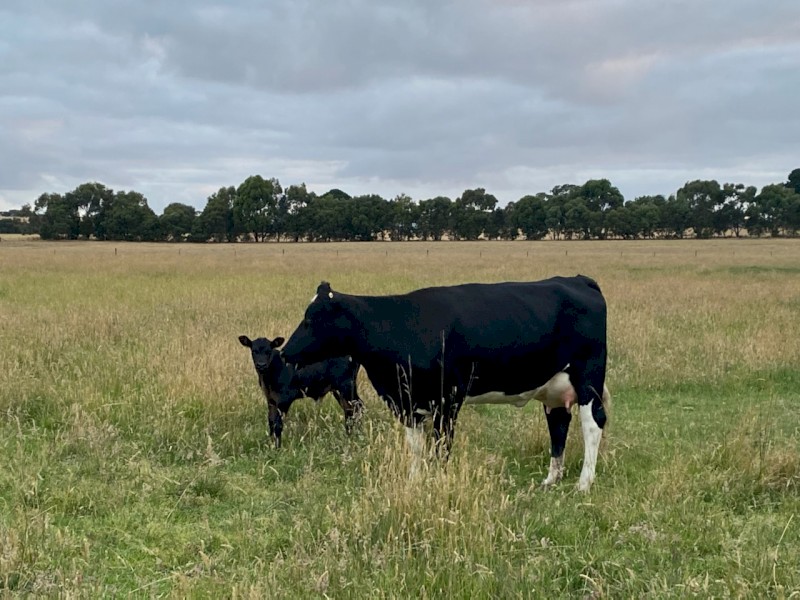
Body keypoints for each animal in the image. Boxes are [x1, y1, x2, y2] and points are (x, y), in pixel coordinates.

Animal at [281, 276, 610, 491]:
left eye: (311, 319)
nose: (284, 351)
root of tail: (578, 280)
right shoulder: (408, 403)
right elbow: (416, 448)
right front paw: (415, 481)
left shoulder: (447, 400)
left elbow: (441, 447)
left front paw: (439, 479)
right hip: (555, 391)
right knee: (559, 428)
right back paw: (551, 479)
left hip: (589, 380)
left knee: (592, 425)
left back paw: (584, 483)